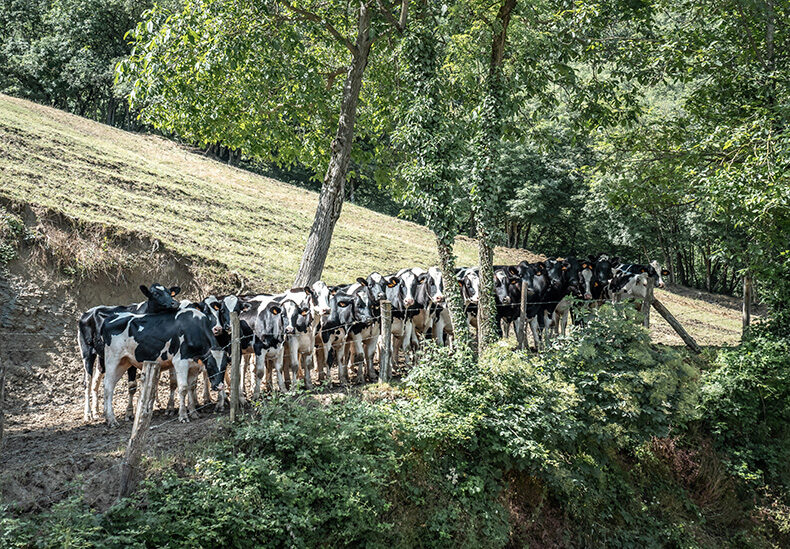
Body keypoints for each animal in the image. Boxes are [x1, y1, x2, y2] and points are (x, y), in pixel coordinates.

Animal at [78, 284, 182, 422]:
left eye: (170, 293)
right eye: (155, 294)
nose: (175, 303)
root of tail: (87, 313)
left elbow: (160, 381)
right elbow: (132, 386)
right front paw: (129, 412)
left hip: (102, 357)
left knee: (96, 381)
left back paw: (96, 411)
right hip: (87, 353)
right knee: (87, 382)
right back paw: (88, 414)